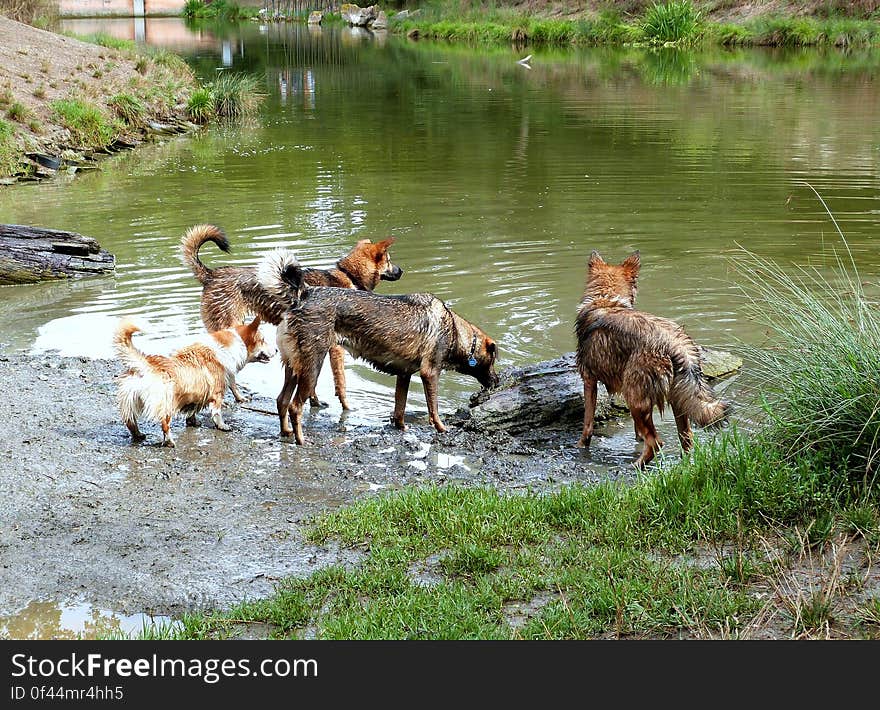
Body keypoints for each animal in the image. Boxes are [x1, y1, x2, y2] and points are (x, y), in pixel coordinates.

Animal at [113, 318, 274, 448]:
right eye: (263, 340)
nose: (277, 350)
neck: (230, 346)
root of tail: (145, 364)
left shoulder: (194, 396)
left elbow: (192, 412)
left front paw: (193, 423)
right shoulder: (217, 394)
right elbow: (217, 413)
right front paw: (223, 426)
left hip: (130, 400)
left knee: (130, 421)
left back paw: (138, 436)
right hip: (167, 402)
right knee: (165, 424)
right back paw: (170, 442)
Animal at [182, 222, 402, 412]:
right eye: (390, 261)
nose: (401, 270)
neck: (348, 274)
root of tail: (210, 275)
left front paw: (315, 401)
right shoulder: (336, 350)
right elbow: (341, 383)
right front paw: (346, 407)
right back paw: (236, 398)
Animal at [258, 250, 498, 444]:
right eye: (494, 361)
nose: (497, 381)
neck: (455, 330)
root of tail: (303, 295)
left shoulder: (404, 375)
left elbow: (400, 409)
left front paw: (401, 428)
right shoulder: (430, 373)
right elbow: (434, 409)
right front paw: (441, 429)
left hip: (293, 366)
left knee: (281, 401)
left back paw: (286, 433)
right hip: (312, 367)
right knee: (295, 407)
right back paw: (301, 440)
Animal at [572, 253, 728, 470]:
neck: (606, 299)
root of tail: (675, 344)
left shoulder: (588, 380)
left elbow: (587, 424)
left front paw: (580, 446)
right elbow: (638, 432)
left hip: (634, 397)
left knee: (656, 442)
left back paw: (635, 467)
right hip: (677, 400)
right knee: (687, 438)